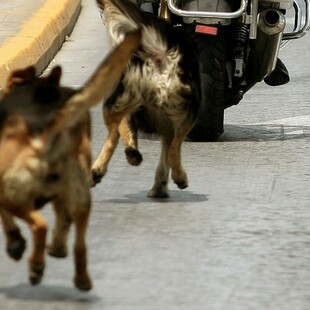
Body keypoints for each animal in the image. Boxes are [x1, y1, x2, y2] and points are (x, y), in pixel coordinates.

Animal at [0, 30, 140, 290]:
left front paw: (15, 243)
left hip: (13, 193)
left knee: (40, 226)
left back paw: (36, 264)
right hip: (80, 197)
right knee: (79, 243)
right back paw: (77, 274)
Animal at [91, 0, 201, 197]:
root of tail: (157, 53)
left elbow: (126, 132)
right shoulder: (168, 126)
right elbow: (165, 154)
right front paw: (160, 186)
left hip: (116, 102)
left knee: (113, 137)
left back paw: (100, 169)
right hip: (187, 110)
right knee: (174, 149)